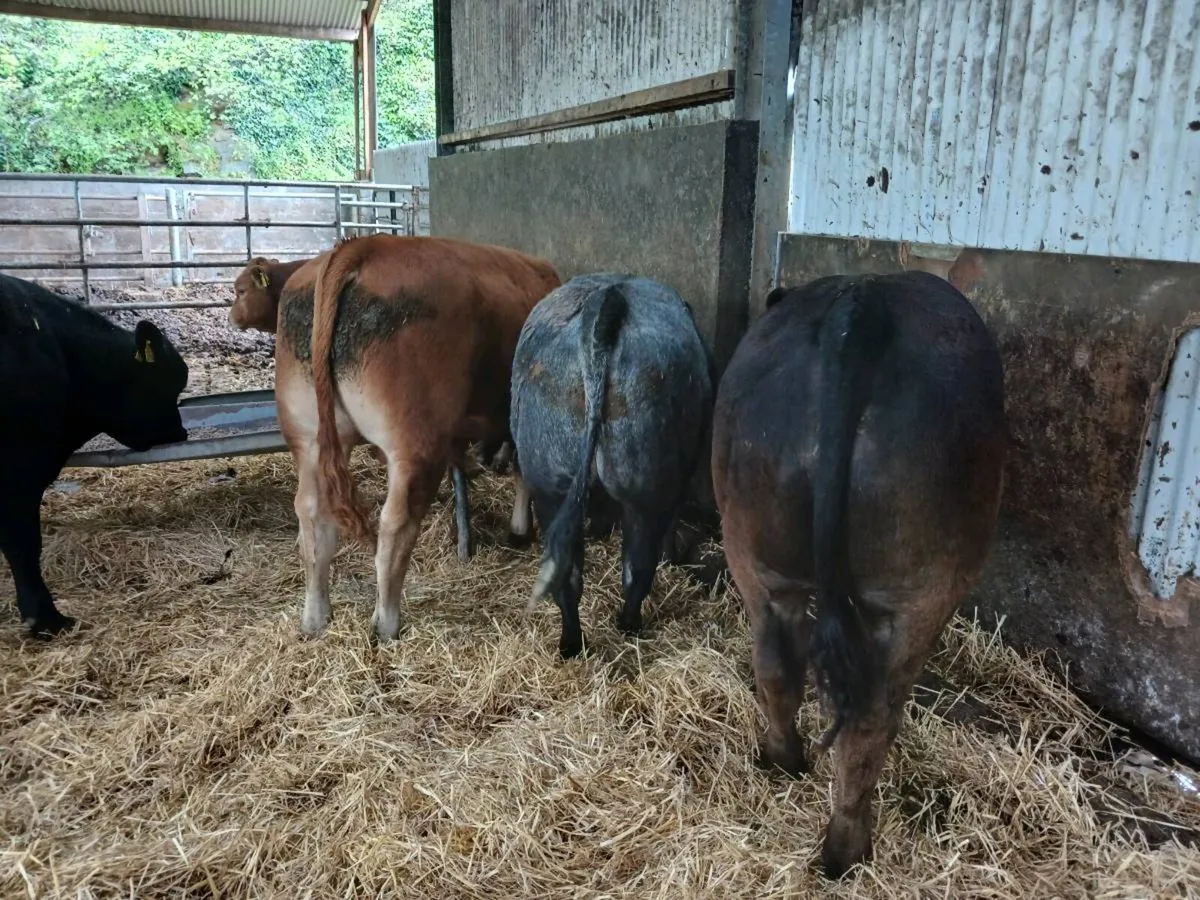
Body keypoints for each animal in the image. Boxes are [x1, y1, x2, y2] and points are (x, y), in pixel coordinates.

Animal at [274, 235, 559, 639]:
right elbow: (524, 470)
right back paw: (386, 623)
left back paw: (315, 618)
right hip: (414, 445)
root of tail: (361, 246)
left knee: (313, 521)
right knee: (395, 526)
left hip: (307, 436)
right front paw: (520, 529)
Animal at [512, 274, 716, 659]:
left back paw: (571, 644)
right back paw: (629, 624)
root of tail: (608, 299)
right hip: (646, 487)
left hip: (550, 481)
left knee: (567, 575)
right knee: (637, 569)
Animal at [712, 270, 1006, 877]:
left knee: (775, 666)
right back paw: (848, 849)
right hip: (920, 592)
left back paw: (783, 760)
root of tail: (860, 307)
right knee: (871, 718)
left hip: (753, 553)